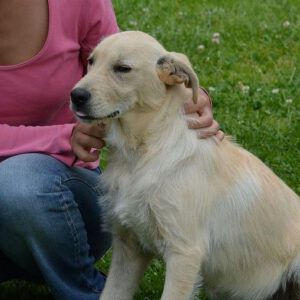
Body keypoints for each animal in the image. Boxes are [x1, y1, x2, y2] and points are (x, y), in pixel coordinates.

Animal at [71, 31, 300, 300]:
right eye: (91, 61)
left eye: (123, 68)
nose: (76, 96)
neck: (142, 153)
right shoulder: (129, 246)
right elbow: (111, 294)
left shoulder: (184, 253)